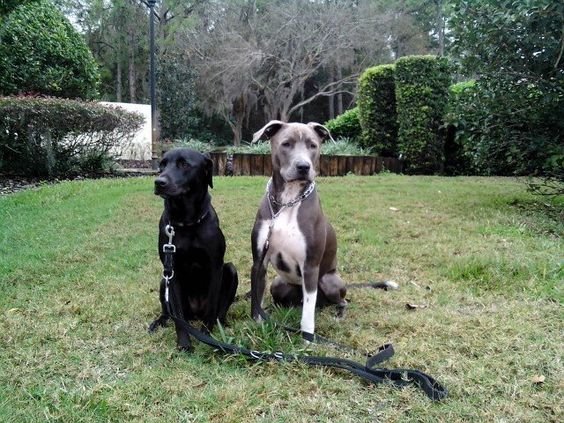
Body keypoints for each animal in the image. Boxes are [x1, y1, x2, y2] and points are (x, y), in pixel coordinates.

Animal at [148, 149, 238, 352]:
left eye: (184, 164)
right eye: (162, 165)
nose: (159, 182)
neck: (186, 221)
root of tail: (196, 312)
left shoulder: (216, 267)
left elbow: (212, 307)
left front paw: (207, 335)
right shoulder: (172, 271)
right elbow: (178, 317)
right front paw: (184, 343)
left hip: (231, 270)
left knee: (220, 310)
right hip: (163, 281)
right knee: (169, 312)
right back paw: (159, 322)